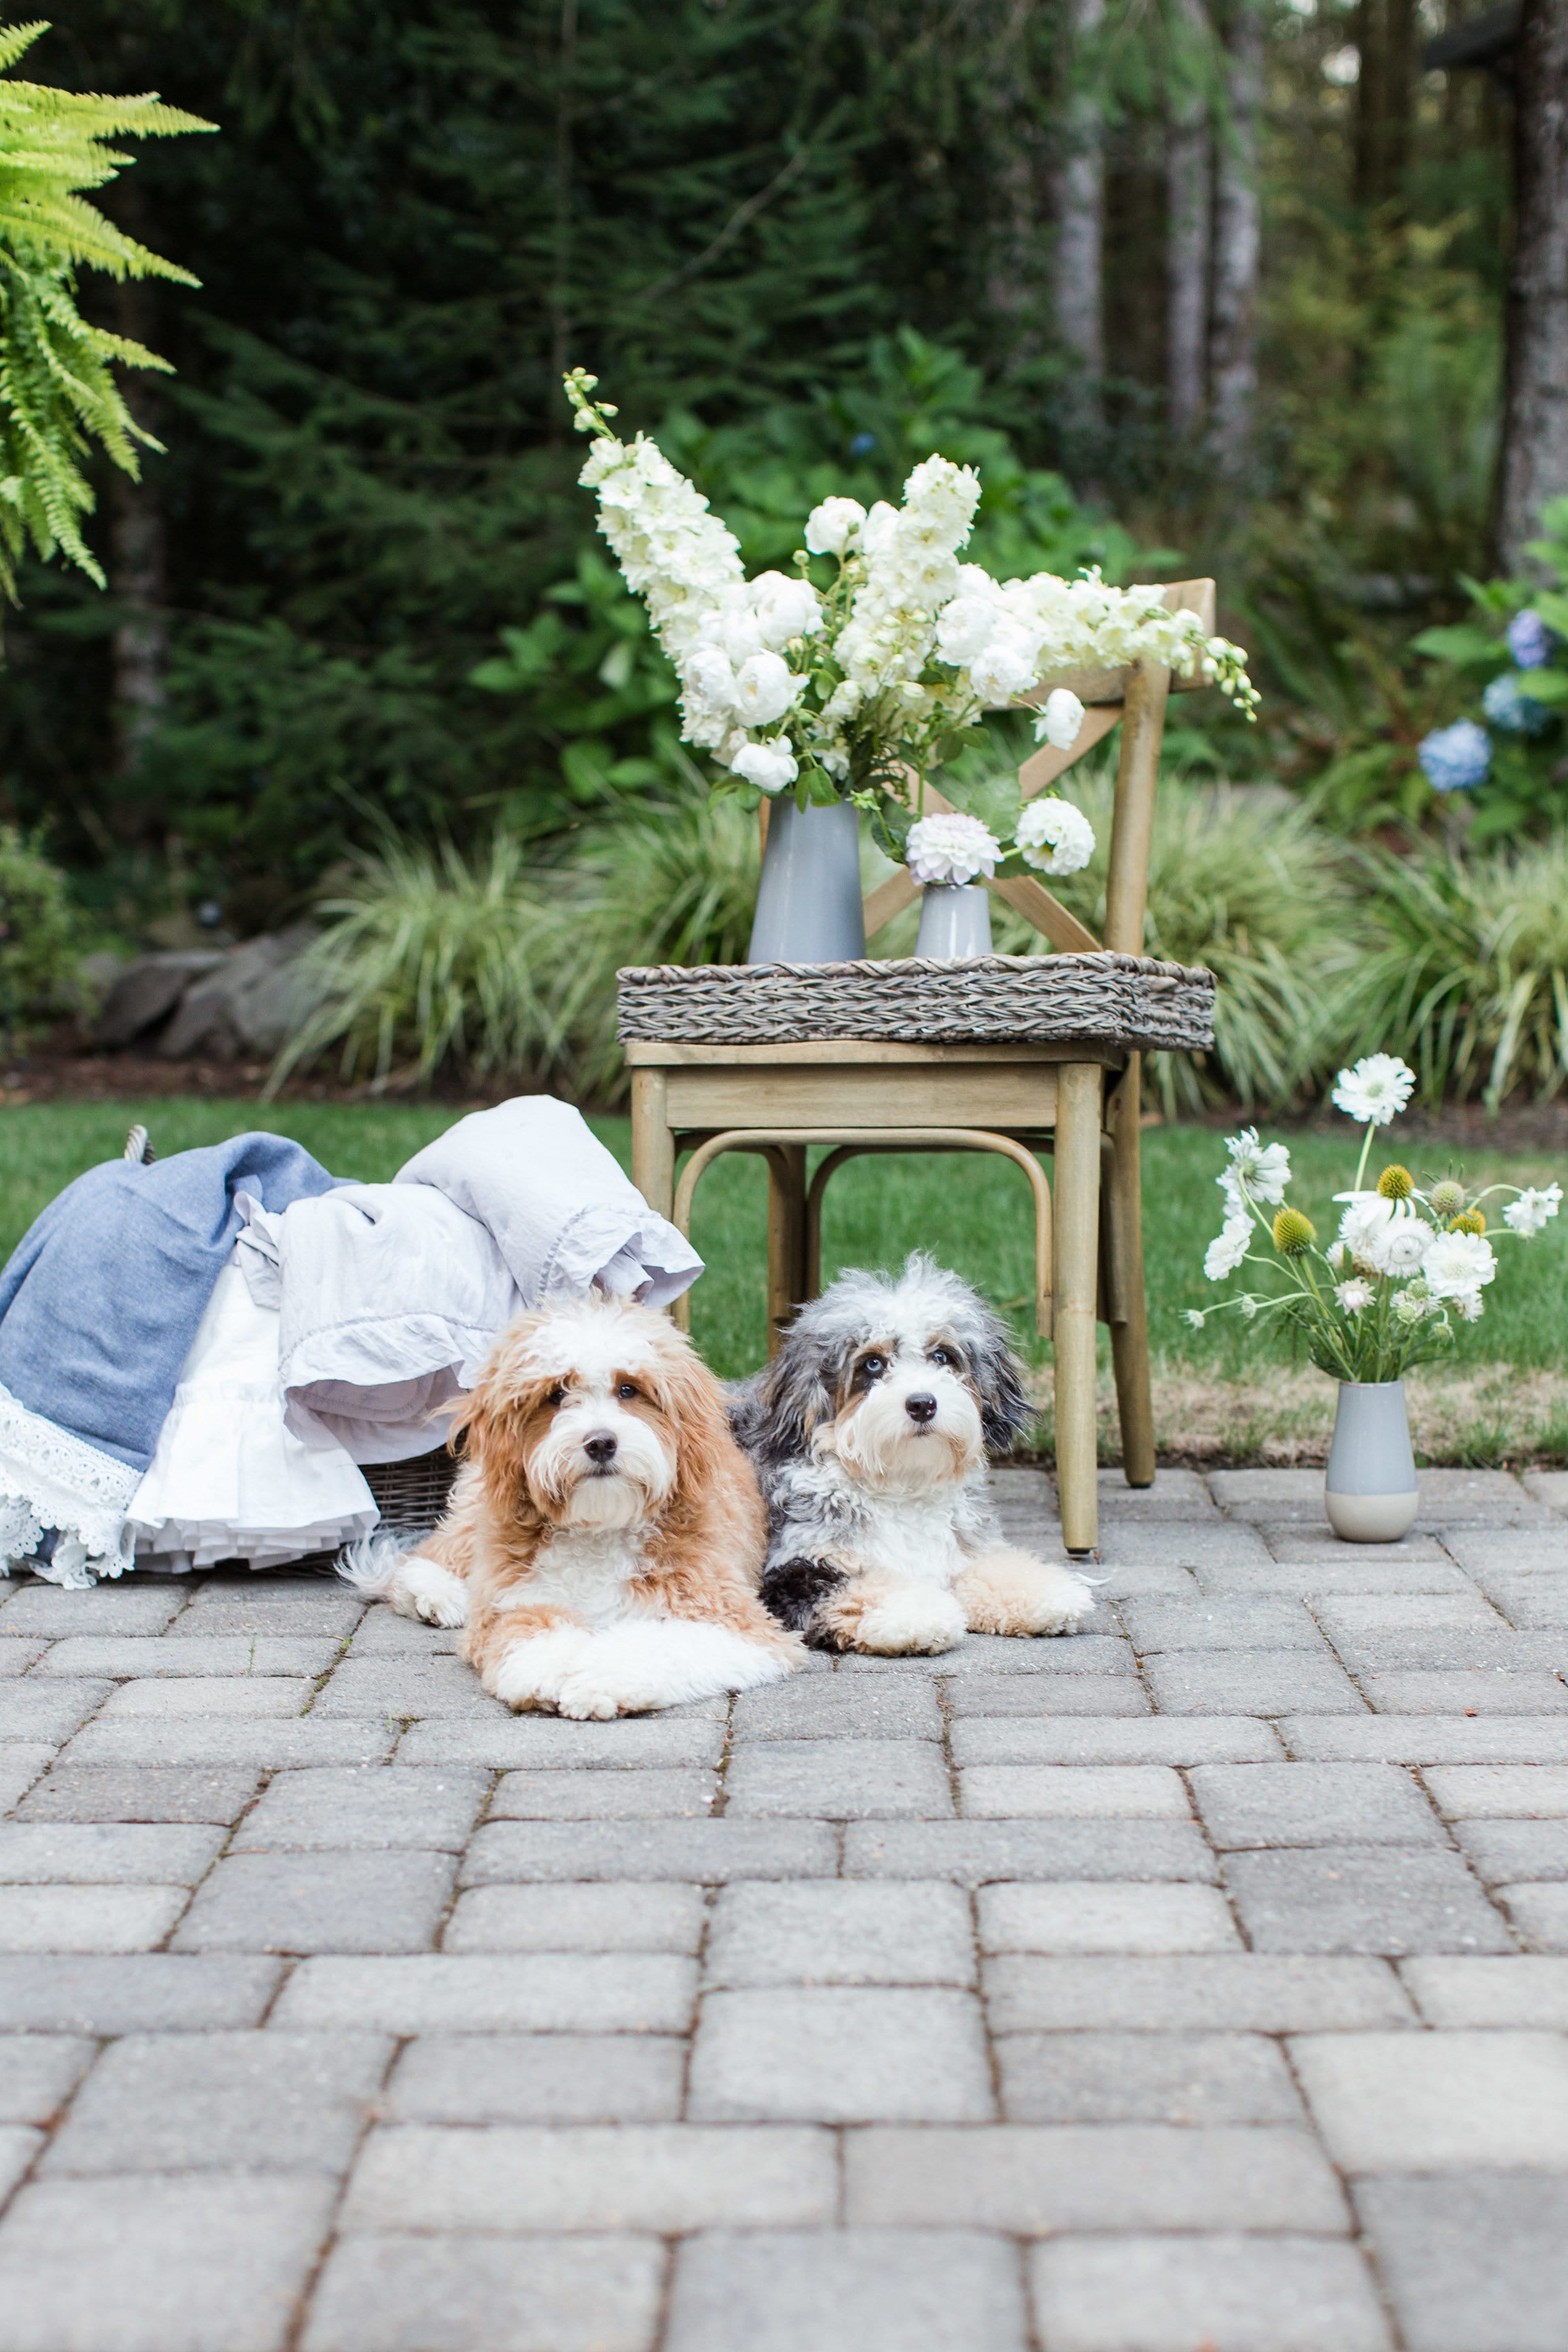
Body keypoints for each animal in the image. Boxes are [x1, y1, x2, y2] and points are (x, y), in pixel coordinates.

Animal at [350, 1298, 804, 1722]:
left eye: (628, 1389)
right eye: (556, 1395)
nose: (601, 1442)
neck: (600, 1528)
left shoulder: (727, 1612)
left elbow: (656, 1643)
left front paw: (596, 1680)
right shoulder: (513, 1599)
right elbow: (530, 1632)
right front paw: (558, 1670)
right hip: (478, 1513)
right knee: (424, 1556)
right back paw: (438, 1594)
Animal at [733, 1251, 1090, 1656]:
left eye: (942, 1356)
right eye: (873, 1363)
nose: (922, 1404)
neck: (899, 1485)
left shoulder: (962, 1551)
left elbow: (994, 1567)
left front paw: (1046, 1593)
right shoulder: (796, 1567)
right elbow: (867, 1590)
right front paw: (918, 1615)